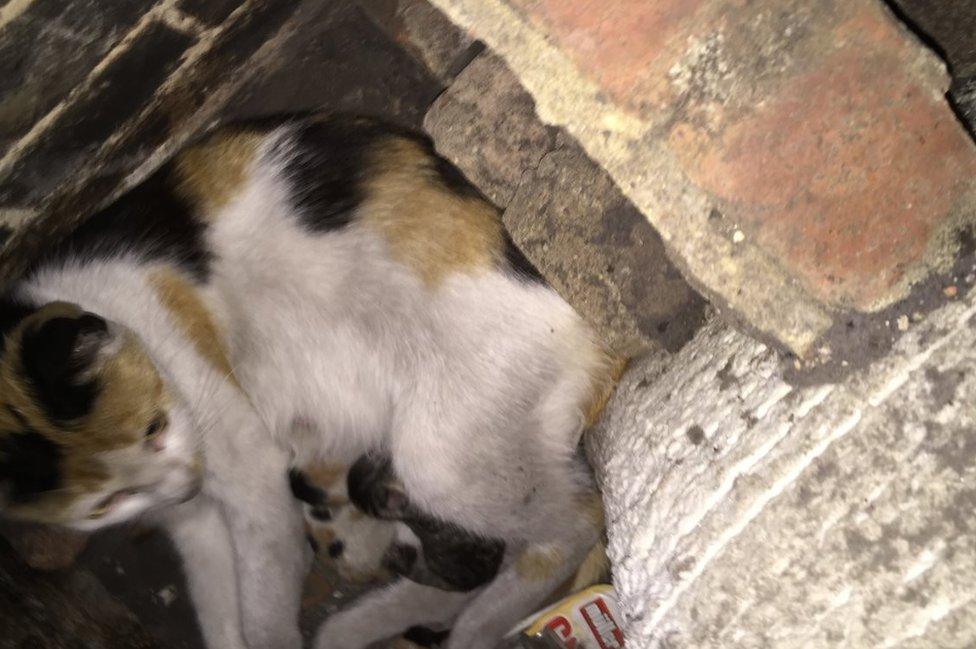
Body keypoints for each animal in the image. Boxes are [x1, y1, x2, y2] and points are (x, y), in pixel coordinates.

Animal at [0, 112, 616, 648]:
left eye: (154, 429)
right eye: (103, 505)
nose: (184, 483)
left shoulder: (252, 473)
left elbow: (263, 608)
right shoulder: (194, 524)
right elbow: (220, 613)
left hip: (441, 457)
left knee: (575, 523)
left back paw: (471, 632)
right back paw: (363, 628)